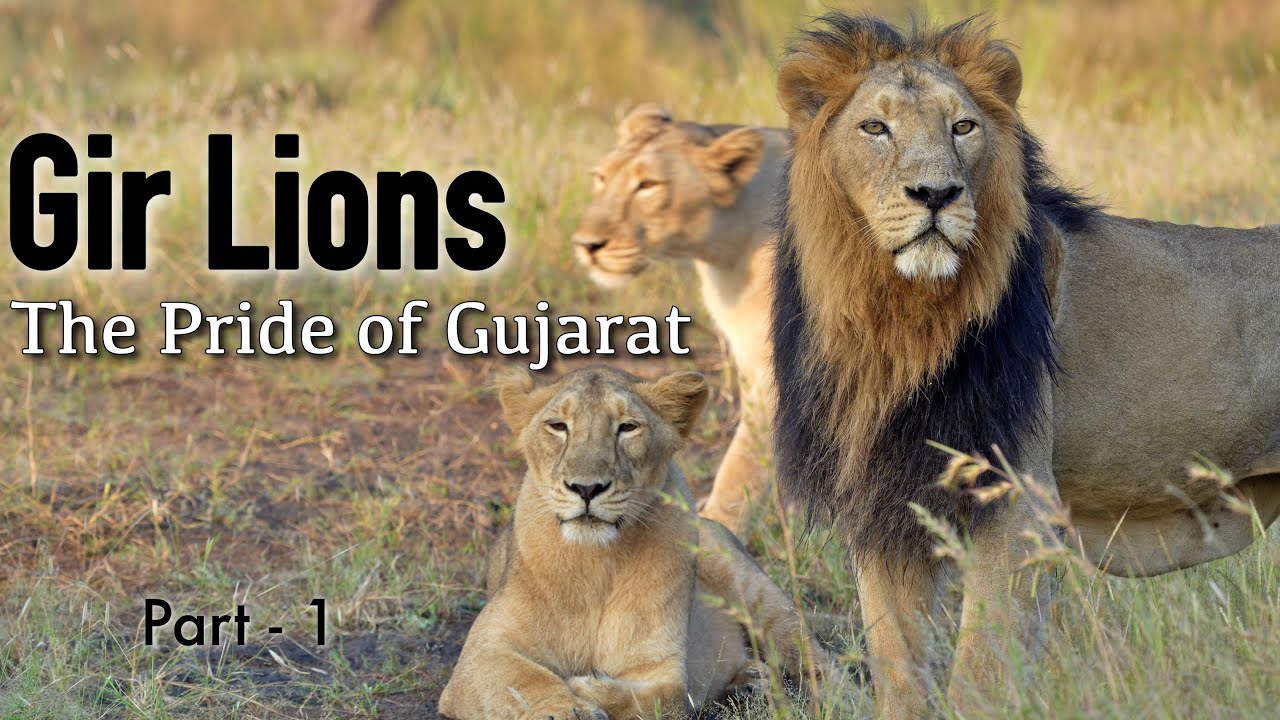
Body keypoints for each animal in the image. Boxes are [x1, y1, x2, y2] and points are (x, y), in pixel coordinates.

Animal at [438, 367, 837, 720]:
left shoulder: (662, 667)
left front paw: (585, 689)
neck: (594, 563)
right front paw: (566, 708)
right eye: (558, 426)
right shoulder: (483, 654)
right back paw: (750, 683)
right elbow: (523, 682)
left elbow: (665, 698)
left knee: (820, 662)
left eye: (627, 427)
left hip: (753, 587)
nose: (586, 488)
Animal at [770, 14, 1280, 718]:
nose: (937, 194)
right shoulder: (885, 505)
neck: (896, 320)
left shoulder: (1020, 502)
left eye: (963, 127)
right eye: (875, 127)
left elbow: (980, 672)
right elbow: (897, 665)